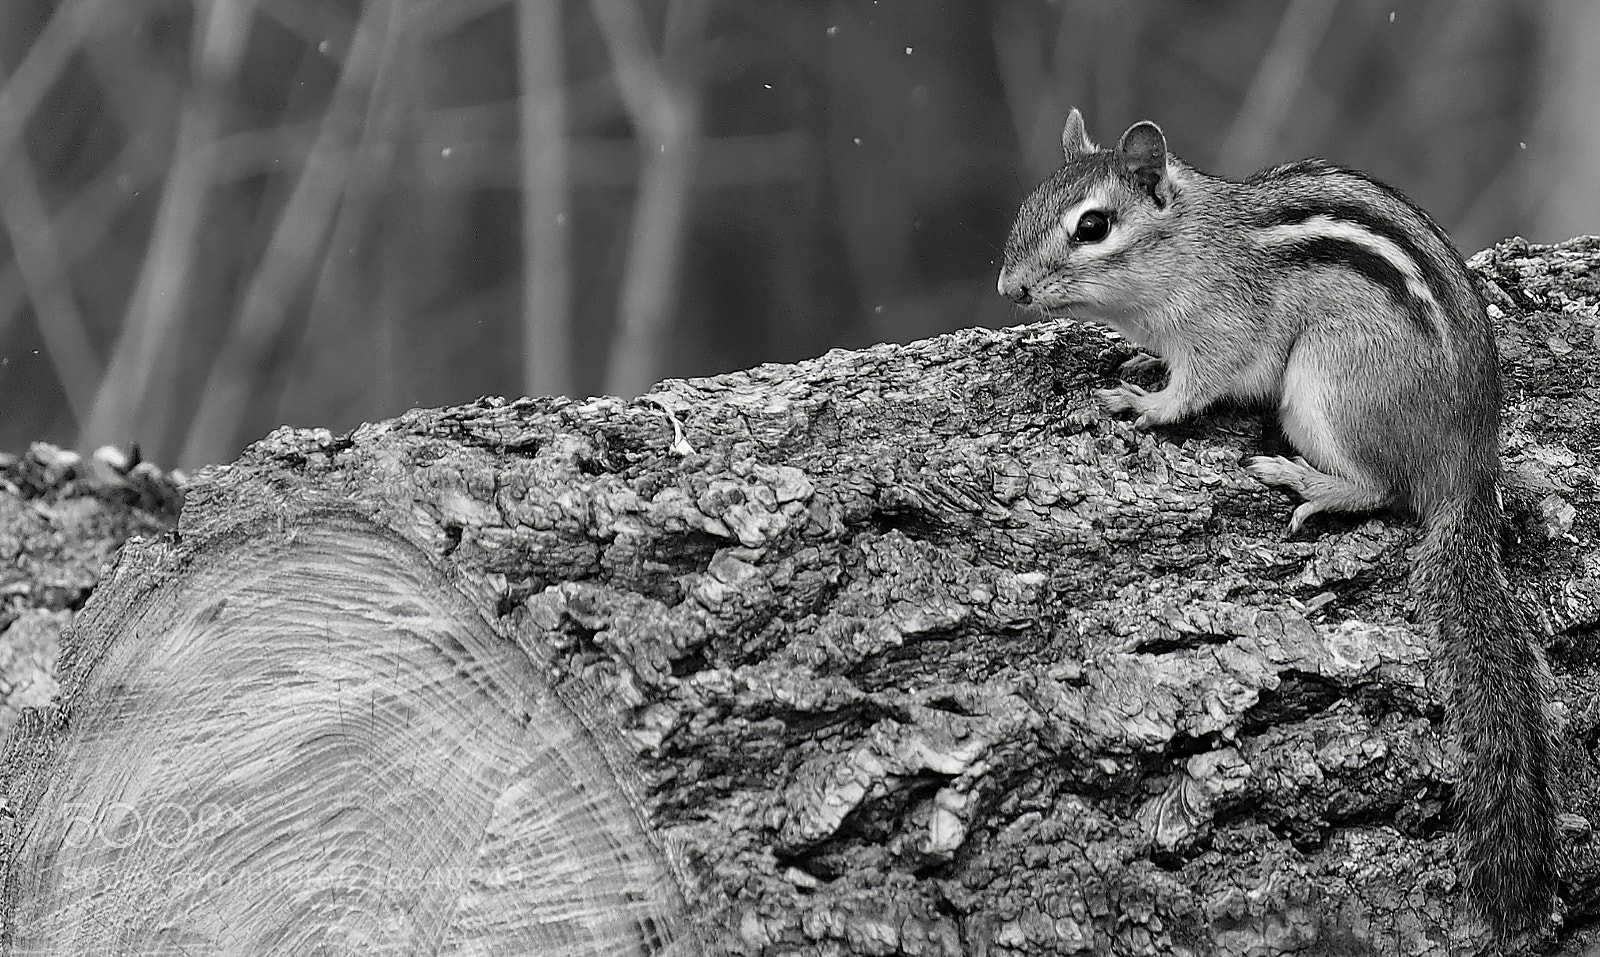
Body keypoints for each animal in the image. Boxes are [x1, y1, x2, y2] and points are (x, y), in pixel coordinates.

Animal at [997, 109, 1557, 942]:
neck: (1190, 240)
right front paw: (1136, 365)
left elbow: (1200, 383)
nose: (1010, 287)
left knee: (1380, 487)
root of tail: (1469, 468)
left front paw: (1149, 403)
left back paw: (1308, 479)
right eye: (1028, 203)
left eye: (1092, 226)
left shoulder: (1220, 330)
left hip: (1329, 382)